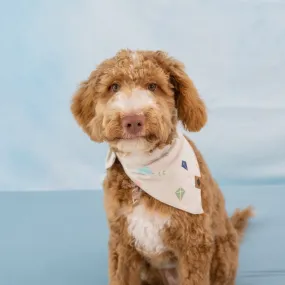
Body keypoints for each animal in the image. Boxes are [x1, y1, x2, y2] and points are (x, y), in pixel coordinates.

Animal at [70, 49, 252, 284]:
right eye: (114, 86)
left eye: (153, 86)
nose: (133, 120)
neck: (145, 171)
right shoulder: (122, 244)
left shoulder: (194, 245)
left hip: (222, 255)